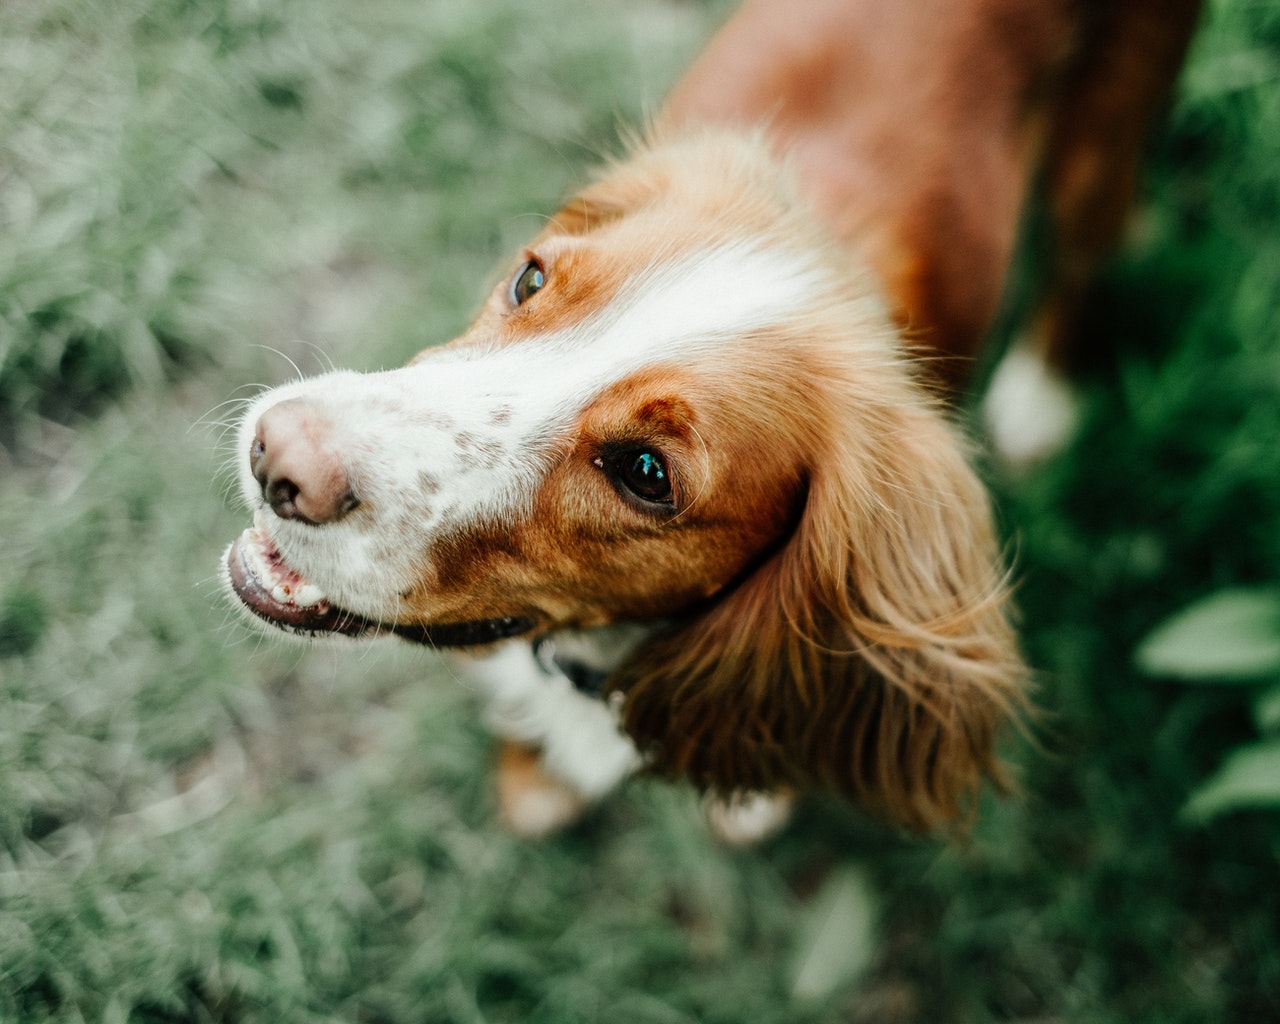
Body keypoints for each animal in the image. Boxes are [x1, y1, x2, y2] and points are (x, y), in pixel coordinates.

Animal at [217, 0, 1198, 839]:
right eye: (530, 278)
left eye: (647, 473)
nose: (279, 457)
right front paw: (533, 773)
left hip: (1109, 130)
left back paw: (1039, 393)